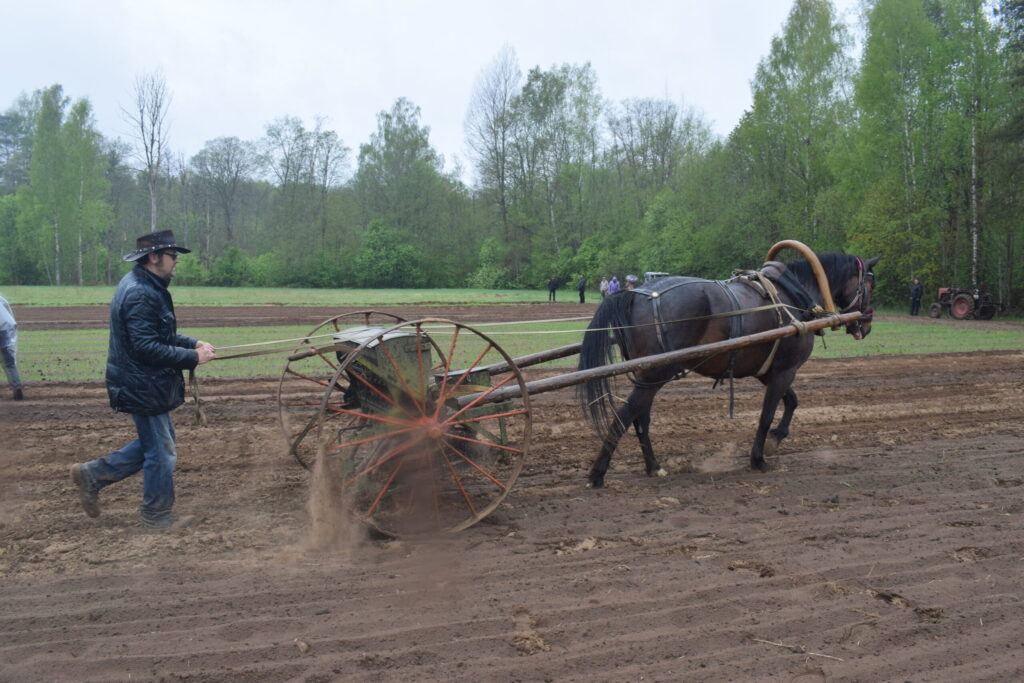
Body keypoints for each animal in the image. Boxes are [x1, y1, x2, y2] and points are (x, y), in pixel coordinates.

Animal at [577, 252, 880, 488]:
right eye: (870, 283)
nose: (866, 325)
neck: (794, 296)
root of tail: (633, 294)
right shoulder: (785, 370)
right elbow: (766, 415)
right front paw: (759, 458)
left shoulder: (768, 372)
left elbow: (792, 401)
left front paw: (776, 440)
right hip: (656, 373)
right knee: (625, 415)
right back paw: (598, 474)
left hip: (647, 375)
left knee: (640, 418)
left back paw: (654, 467)